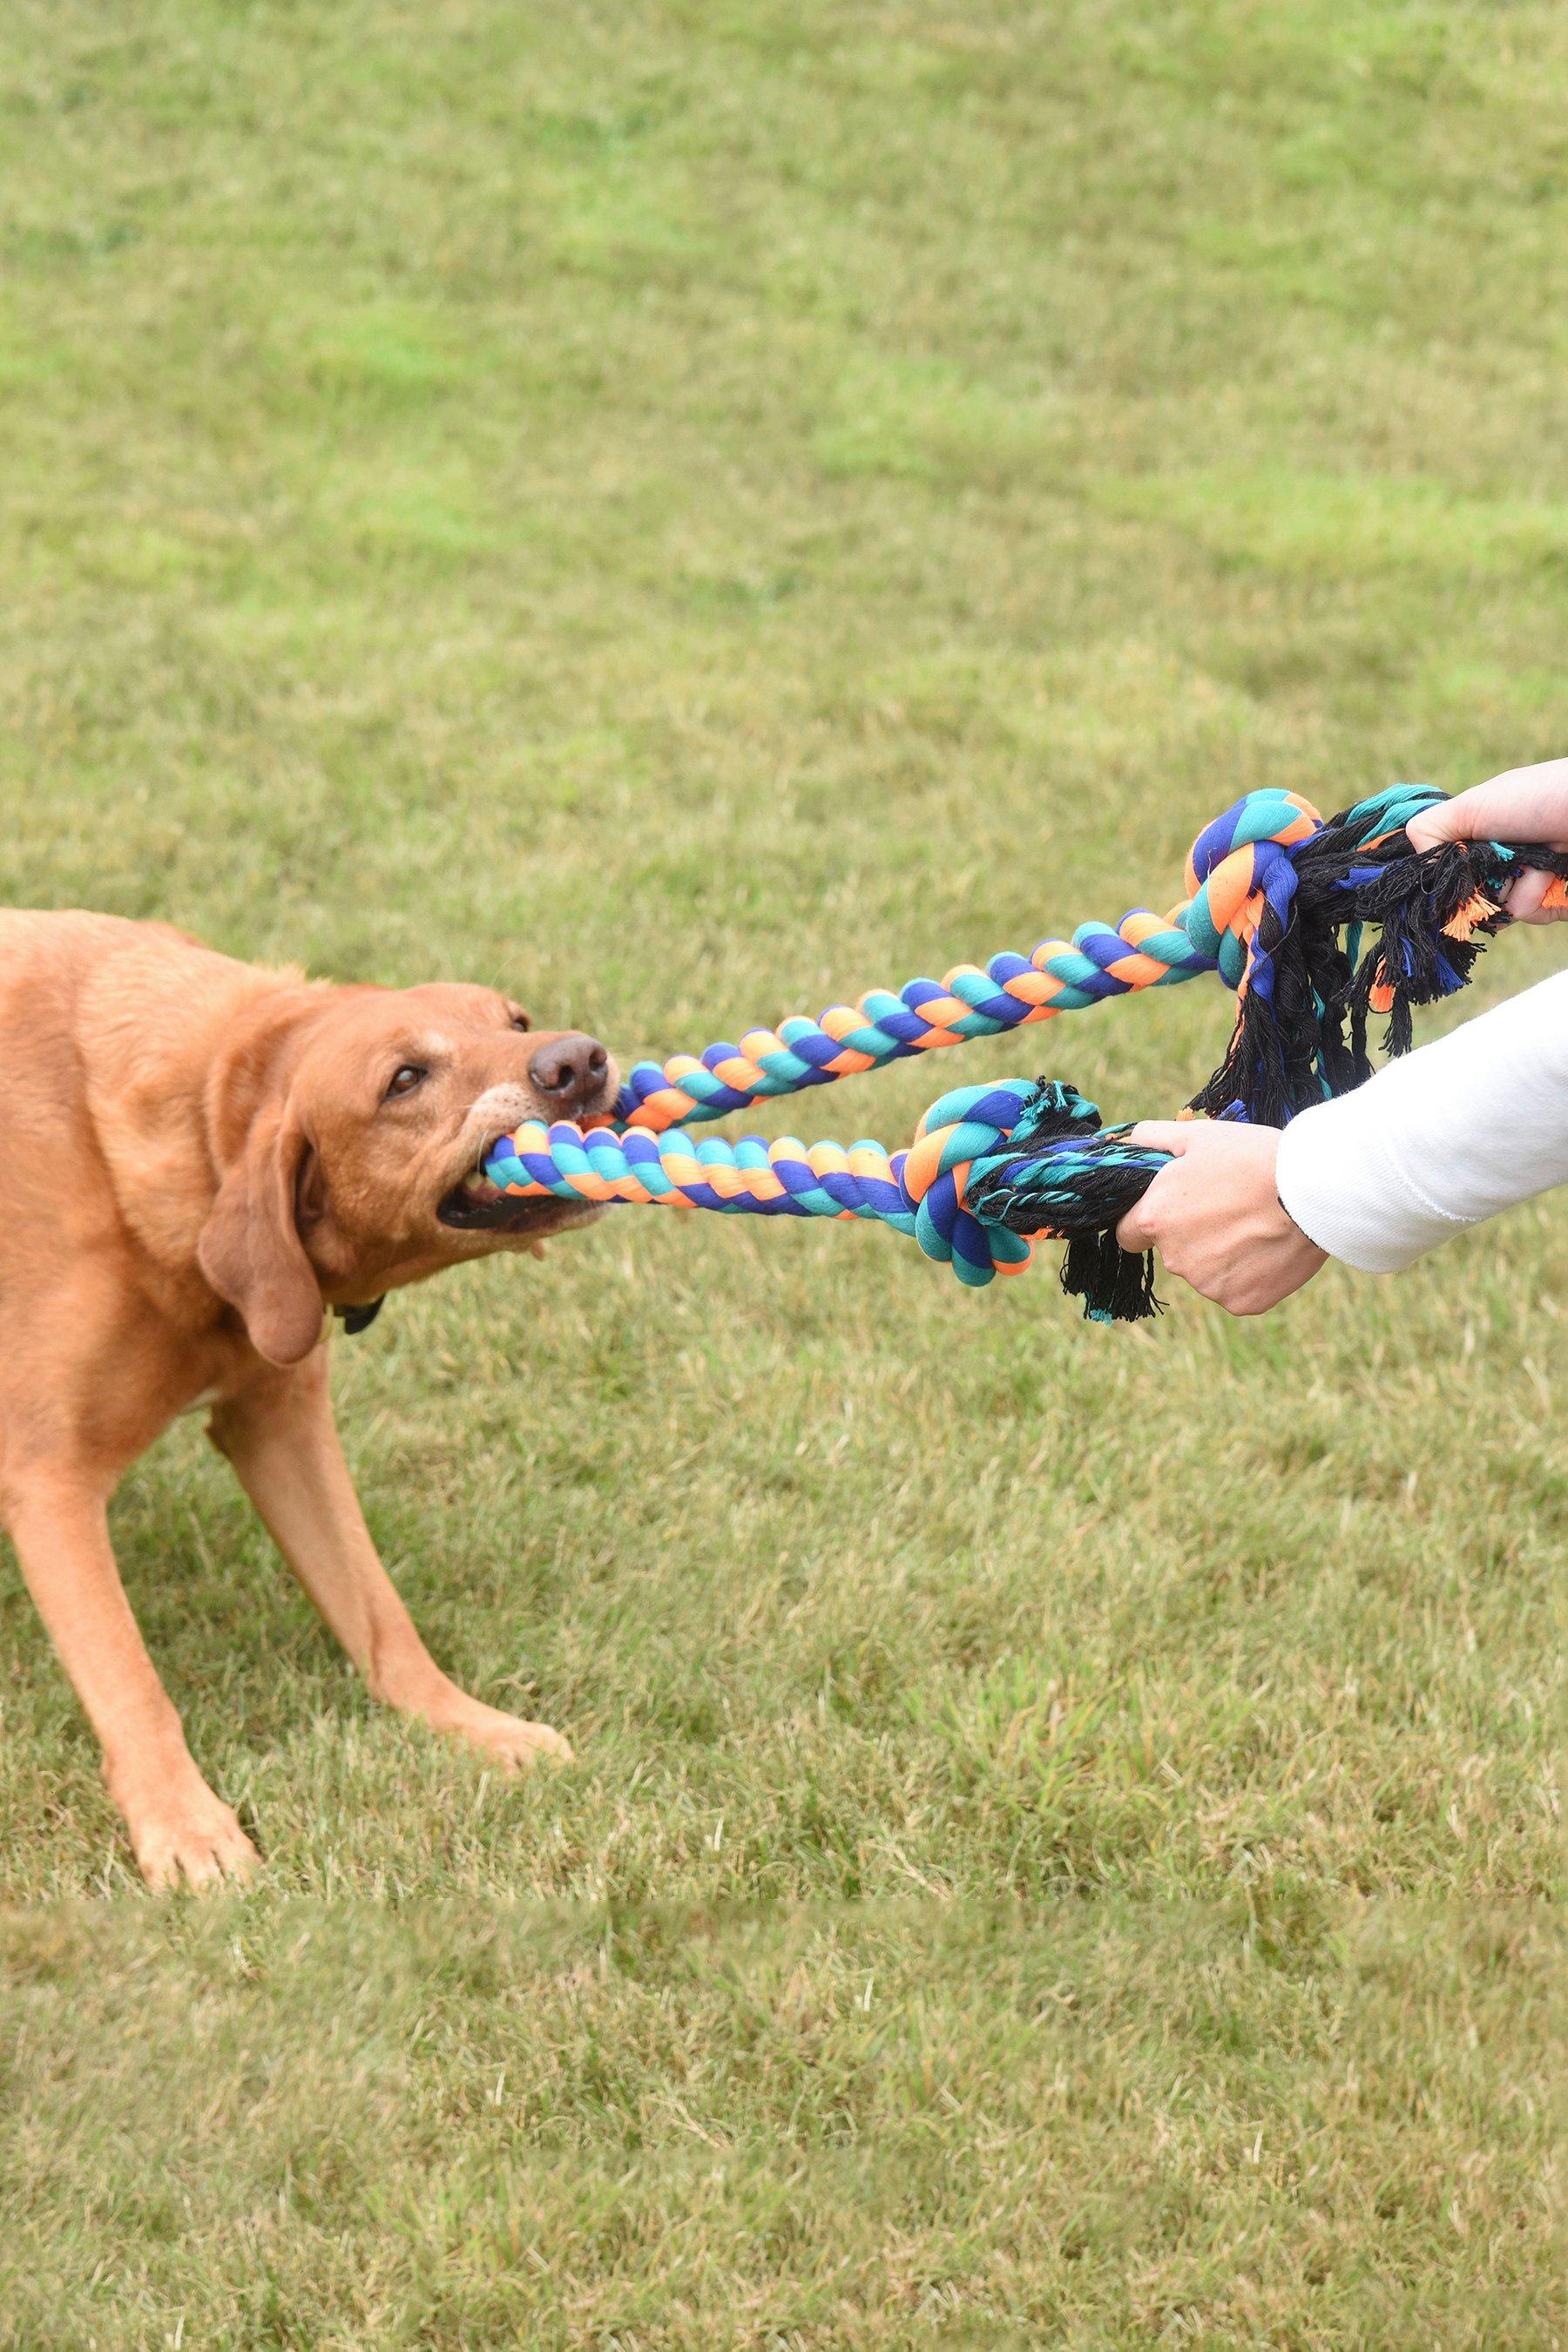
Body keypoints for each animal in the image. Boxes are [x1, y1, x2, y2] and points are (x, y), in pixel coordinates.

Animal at [0, 908, 620, 1882]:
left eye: (515, 1021)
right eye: (405, 1079)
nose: (580, 1060)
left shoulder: (279, 1420)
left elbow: (379, 1614)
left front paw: (470, 1727)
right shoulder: (50, 1480)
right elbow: (130, 1680)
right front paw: (185, 1829)